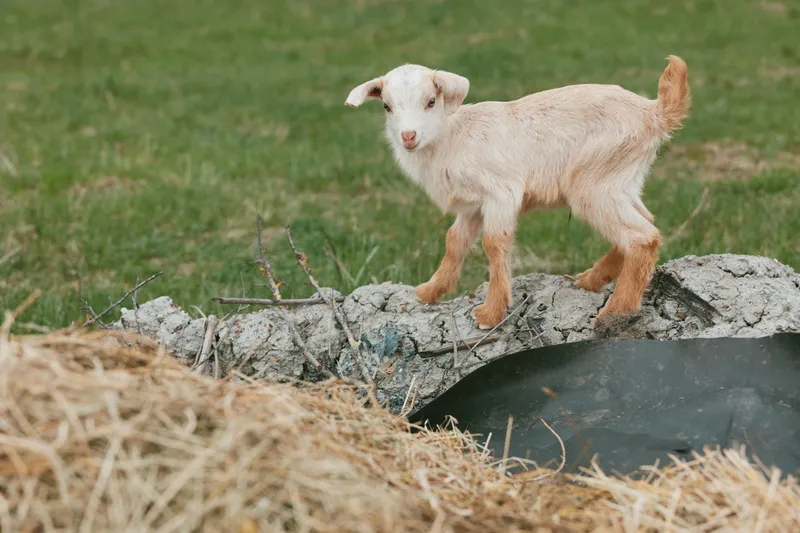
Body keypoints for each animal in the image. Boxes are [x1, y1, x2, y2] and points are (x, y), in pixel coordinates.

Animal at [345, 56, 691, 329]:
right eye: (387, 106)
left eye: (431, 101)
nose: (409, 136)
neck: (452, 137)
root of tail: (654, 112)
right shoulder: (472, 206)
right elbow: (455, 242)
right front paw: (430, 291)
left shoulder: (501, 192)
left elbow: (493, 243)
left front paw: (490, 313)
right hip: (622, 180)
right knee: (644, 224)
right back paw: (591, 279)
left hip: (594, 182)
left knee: (642, 237)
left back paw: (615, 312)